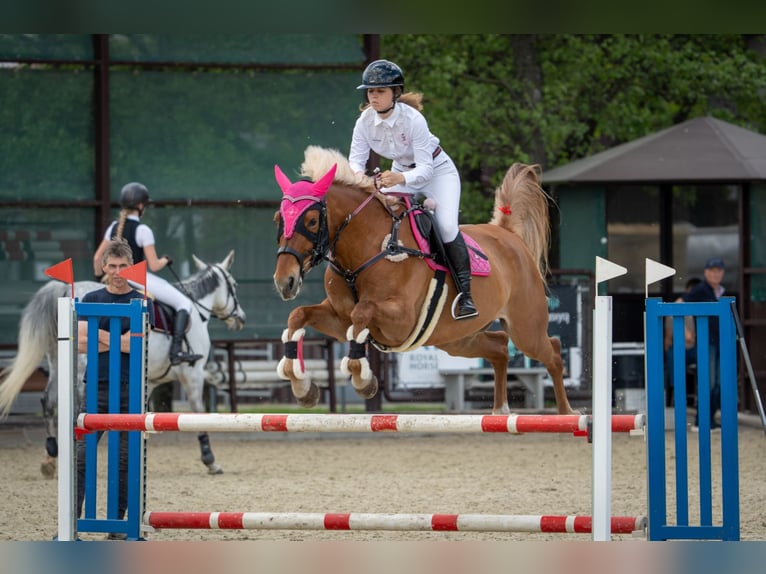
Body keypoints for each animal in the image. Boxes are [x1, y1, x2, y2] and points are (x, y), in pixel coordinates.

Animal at [0, 252, 246, 476]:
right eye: (234, 285)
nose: (241, 319)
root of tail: (64, 291)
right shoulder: (192, 375)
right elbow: (198, 412)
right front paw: (210, 460)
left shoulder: (151, 381)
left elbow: (139, 417)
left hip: (57, 362)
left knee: (49, 401)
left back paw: (51, 456)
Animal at [272, 146, 580, 418]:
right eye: (278, 219)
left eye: (312, 221)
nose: (284, 281)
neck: (369, 248)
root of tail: (509, 235)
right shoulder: (339, 318)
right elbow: (298, 315)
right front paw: (302, 387)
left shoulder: (401, 321)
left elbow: (363, 312)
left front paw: (363, 379)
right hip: (457, 339)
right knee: (500, 347)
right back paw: (501, 410)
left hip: (525, 329)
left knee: (552, 351)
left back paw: (567, 413)